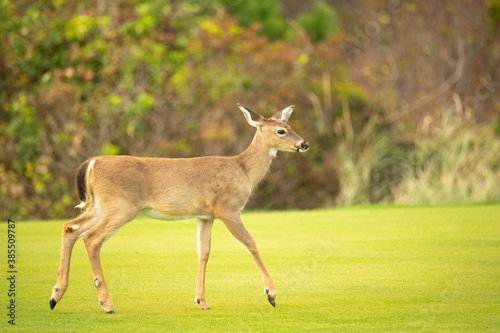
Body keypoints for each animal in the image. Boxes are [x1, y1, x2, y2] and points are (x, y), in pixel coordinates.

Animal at [49, 102, 308, 312]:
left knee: (70, 228)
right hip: (121, 206)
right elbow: (251, 244)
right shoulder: (228, 208)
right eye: (281, 130)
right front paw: (271, 294)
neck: (243, 170)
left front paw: (201, 300)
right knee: (92, 239)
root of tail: (92, 163)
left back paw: (55, 295)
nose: (304, 143)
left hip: (99, 206)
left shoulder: (206, 215)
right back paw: (106, 303)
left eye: (289, 124)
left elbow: (204, 252)